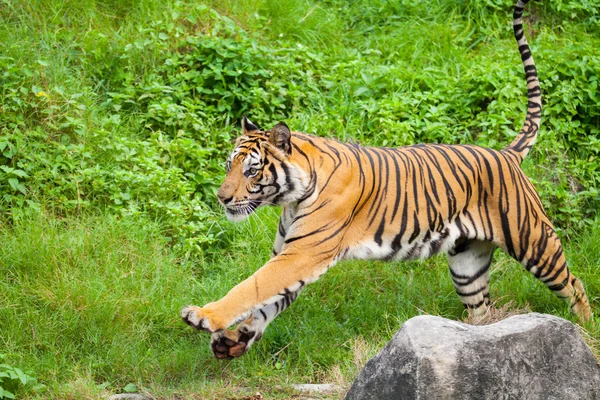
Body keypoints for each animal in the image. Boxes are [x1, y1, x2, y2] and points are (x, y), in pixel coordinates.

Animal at [180, 0, 592, 360]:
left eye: (251, 169)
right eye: (229, 165)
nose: (221, 198)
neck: (292, 196)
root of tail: (506, 153)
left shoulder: (303, 254)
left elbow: (252, 286)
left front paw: (205, 316)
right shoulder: (290, 253)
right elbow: (266, 301)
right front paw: (234, 340)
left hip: (534, 241)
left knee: (574, 285)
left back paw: (586, 330)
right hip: (468, 265)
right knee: (484, 310)